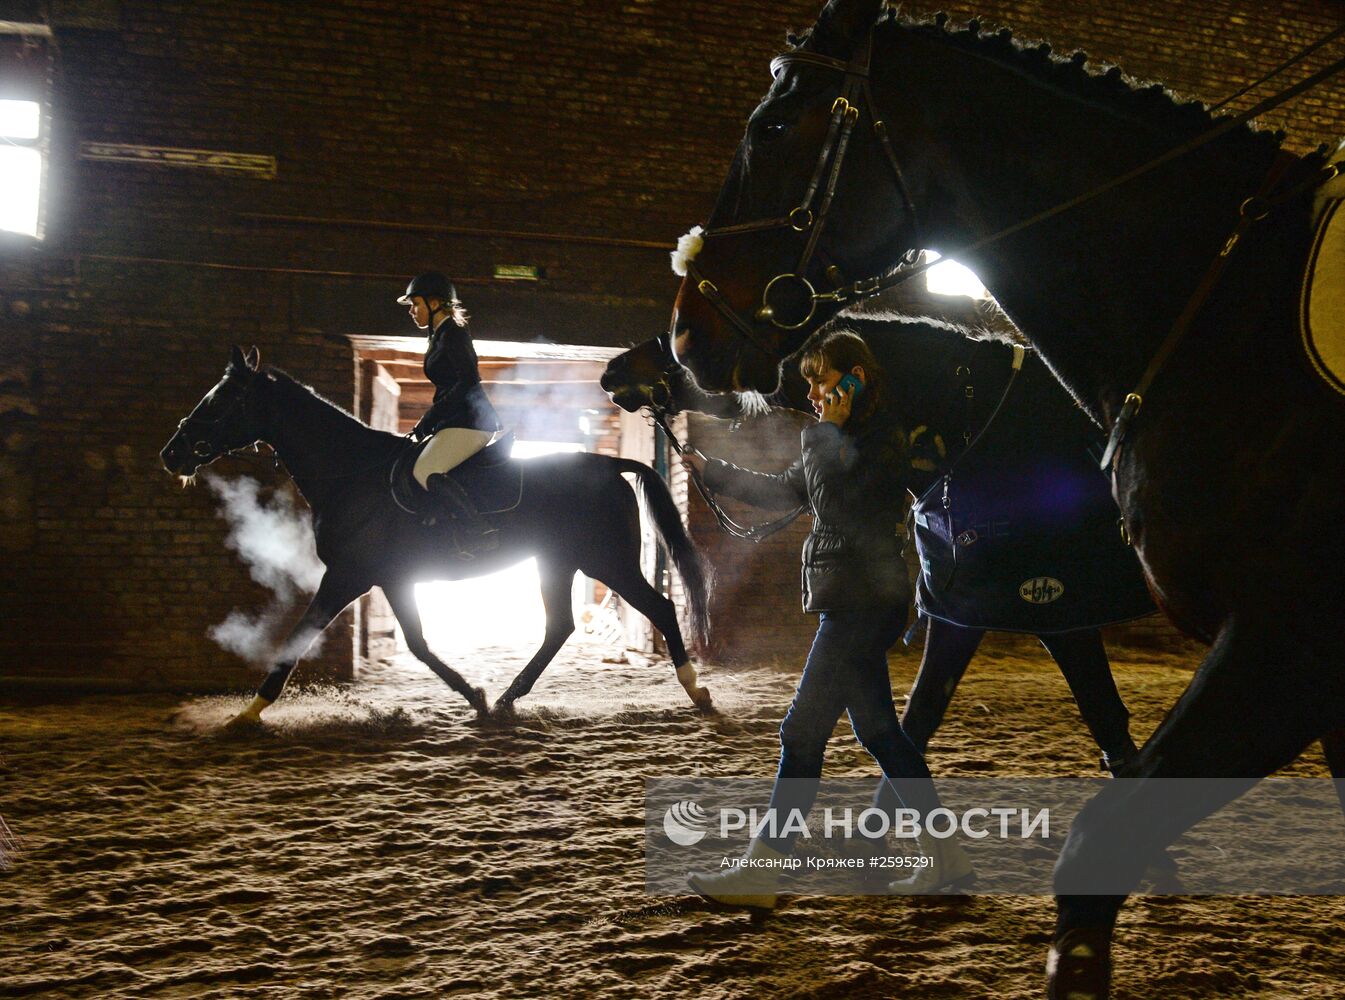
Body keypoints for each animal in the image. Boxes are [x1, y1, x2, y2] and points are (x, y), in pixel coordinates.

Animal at [160, 347, 715, 721]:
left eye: (220, 400)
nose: (171, 453)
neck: (351, 473)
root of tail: (608, 464)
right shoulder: (389, 578)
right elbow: (419, 643)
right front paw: (476, 696)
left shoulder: (347, 575)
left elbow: (299, 636)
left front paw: (246, 714)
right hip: (558, 562)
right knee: (558, 627)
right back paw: (508, 698)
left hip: (607, 560)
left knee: (660, 607)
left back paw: (697, 692)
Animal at [605, 316, 1151, 769]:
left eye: (682, 339)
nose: (613, 370)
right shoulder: (960, 610)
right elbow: (917, 719)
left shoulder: (1060, 614)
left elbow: (1108, 720)